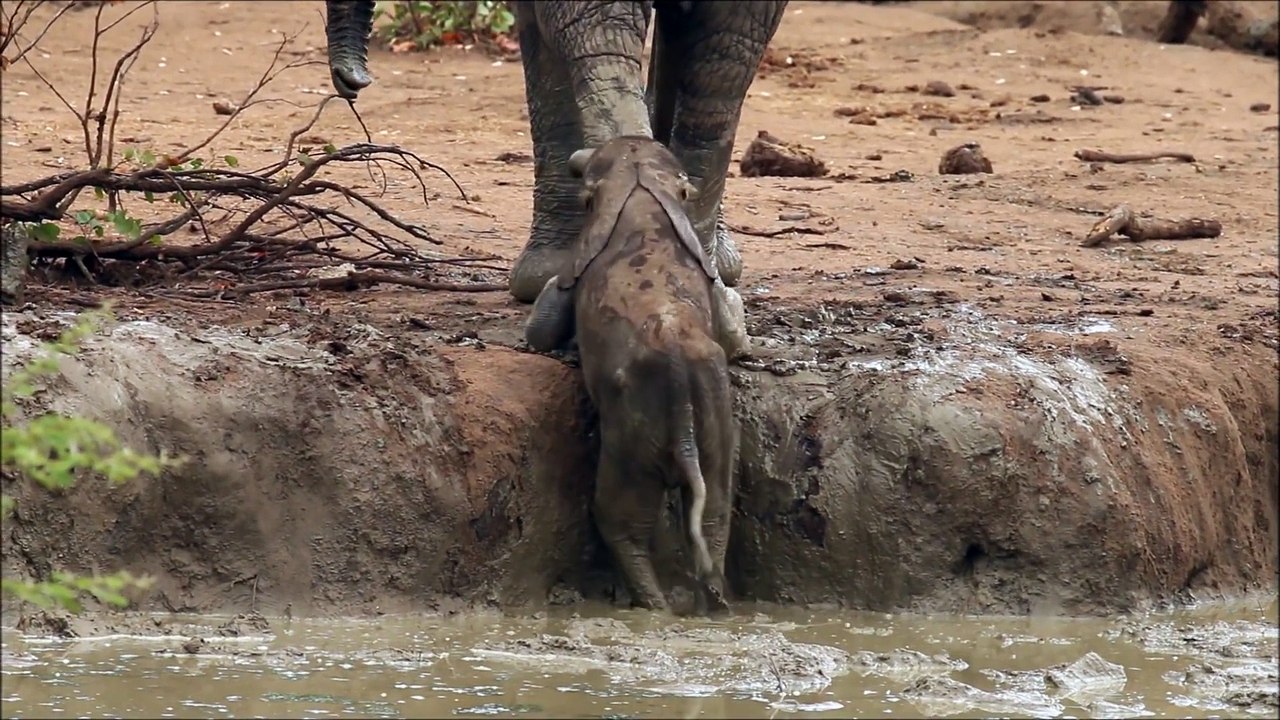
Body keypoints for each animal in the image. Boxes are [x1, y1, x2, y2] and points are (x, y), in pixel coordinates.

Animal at [525, 135, 738, 613]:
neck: (640, 183)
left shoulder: (575, 267)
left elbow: (543, 326)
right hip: (713, 420)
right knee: (715, 511)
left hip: (632, 435)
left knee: (619, 519)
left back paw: (653, 607)